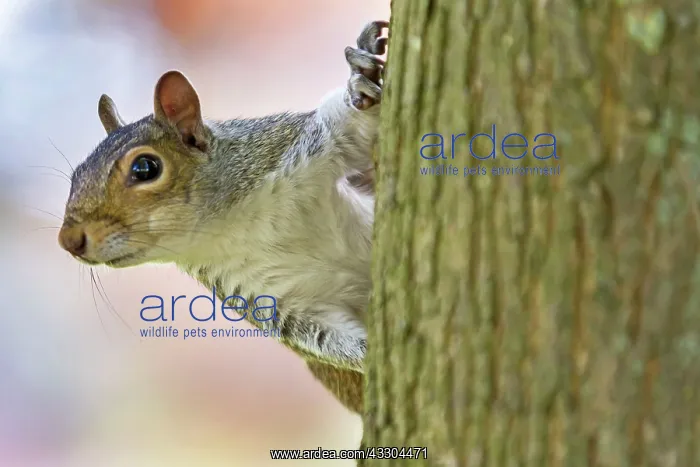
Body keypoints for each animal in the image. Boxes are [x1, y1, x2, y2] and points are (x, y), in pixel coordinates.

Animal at [57, 20, 388, 414]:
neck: (231, 224)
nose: (68, 240)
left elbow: (351, 127)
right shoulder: (274, 298)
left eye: (145, 167)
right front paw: (371, 353)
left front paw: (360, 79)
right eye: (76, 175)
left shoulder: (298, 145)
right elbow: (325, 337)